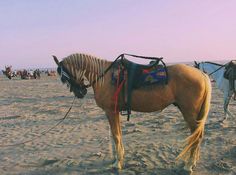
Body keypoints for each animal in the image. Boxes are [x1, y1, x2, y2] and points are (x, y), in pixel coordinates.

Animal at [53, 53, 212, 174]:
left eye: (64, 77)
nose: (80, 92)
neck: (105, 76)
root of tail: (201, 74)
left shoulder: (110, 111)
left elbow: (116, 136)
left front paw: (117, 163)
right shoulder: (115, 111)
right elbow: (117, 134)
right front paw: (119, 158)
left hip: (189, 113)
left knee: (196, 137)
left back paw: (188, 166)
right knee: (197, 135)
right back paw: (193, 162)